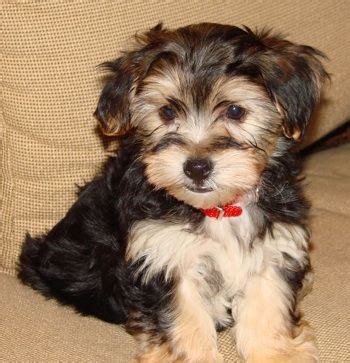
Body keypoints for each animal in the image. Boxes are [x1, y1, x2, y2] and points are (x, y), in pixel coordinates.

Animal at [17, 24, 328, 362]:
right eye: (166, 111)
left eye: (235, 111)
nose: (197, 167)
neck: (218, 209)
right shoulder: (164, 255)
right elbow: (185, 321)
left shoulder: (272, 248)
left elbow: (268, 309)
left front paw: (277, 353)